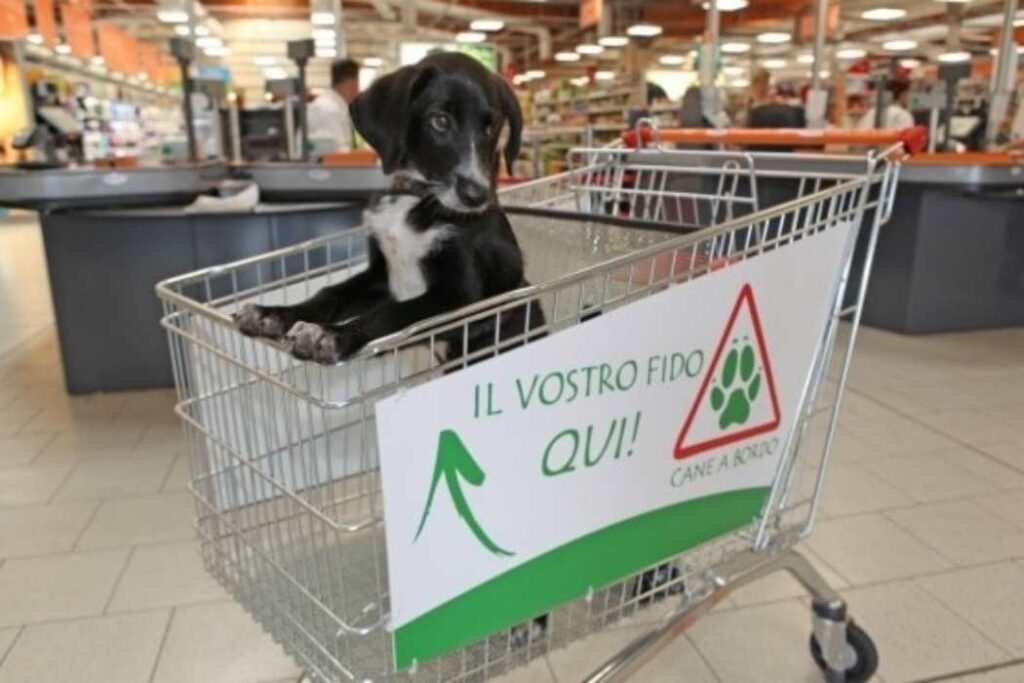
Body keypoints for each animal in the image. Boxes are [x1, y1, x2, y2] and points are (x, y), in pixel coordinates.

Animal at [235, 54, 544, 366]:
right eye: (440, 121)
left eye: (491, 128)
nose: (477, 196)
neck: (416, 199)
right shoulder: (381, 275)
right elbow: (330, 292)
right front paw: (274, 314)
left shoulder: (462, 297)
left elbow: (391, 314)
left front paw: (331, 334)